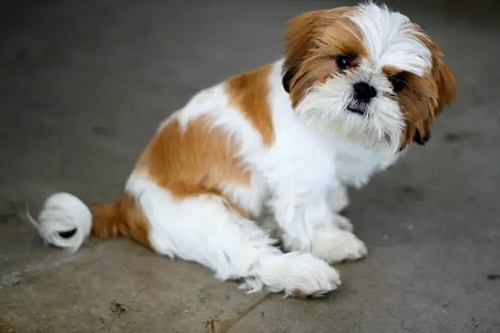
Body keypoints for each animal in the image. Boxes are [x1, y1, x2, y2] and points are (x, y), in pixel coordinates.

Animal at [29, 3, 456, 296]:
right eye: (344, 61)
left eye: (398, 84)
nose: (365, 88)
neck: (332, 126)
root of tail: (128, 204)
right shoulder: (298, 177)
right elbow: (307, 215)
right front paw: (330, 241)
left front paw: (334, 218)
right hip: (205, 214)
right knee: (248, 255)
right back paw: (303, 273)